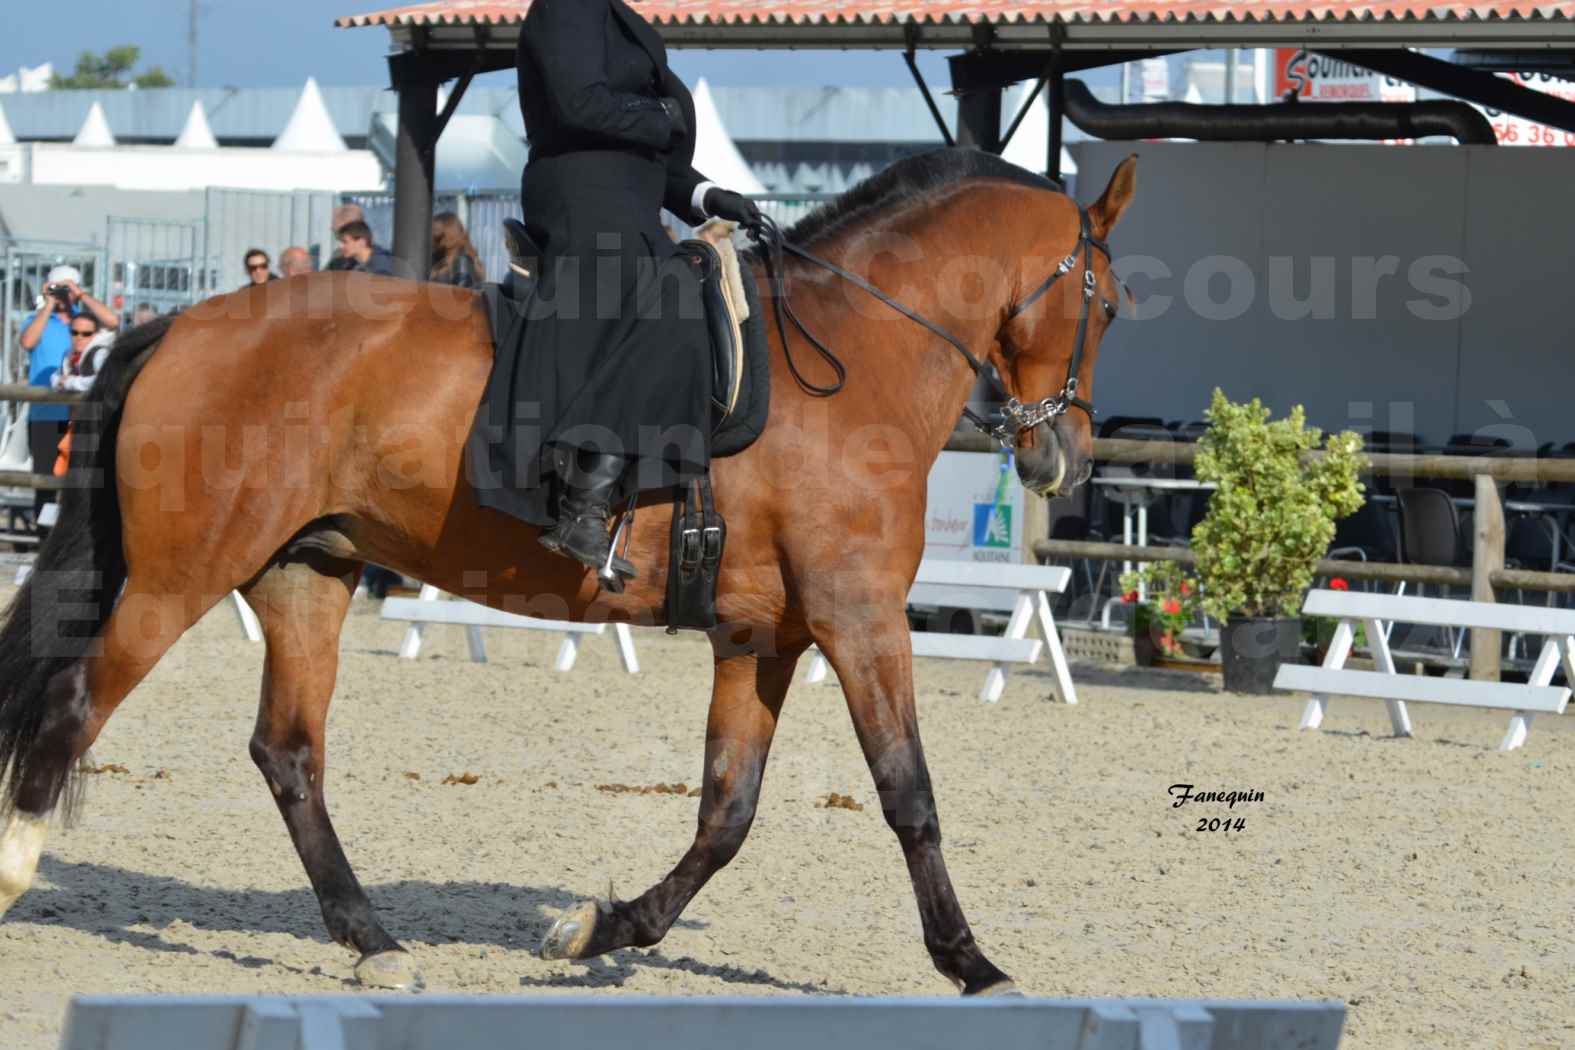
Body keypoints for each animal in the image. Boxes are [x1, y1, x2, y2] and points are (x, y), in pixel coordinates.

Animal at [0, 147, 1134, 994]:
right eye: (1113, 305)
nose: (1063, 458)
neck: (854, 358)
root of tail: (181, 324)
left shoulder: (764, 637)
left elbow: (726, 813)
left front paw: (600, 928)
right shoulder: (859, 622)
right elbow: (909, 793)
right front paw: (972, 964)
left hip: (303, 574)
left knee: (288, 753)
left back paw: (375, 943)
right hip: (179, 578)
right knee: (74, 706)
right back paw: (17, 874)